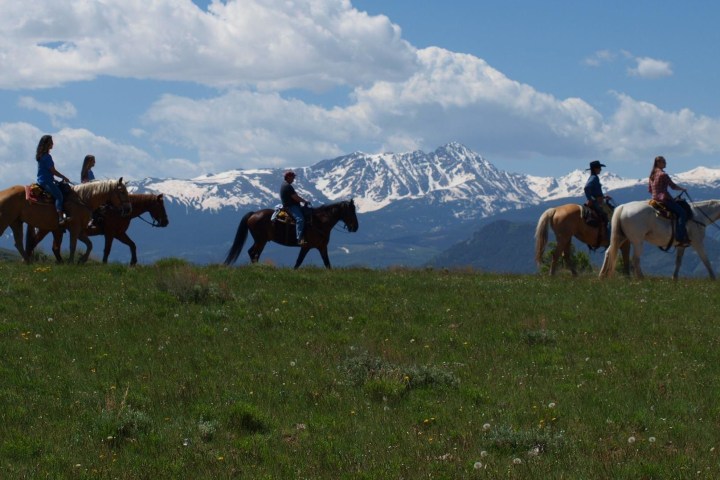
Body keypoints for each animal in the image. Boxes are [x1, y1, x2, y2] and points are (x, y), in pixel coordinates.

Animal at [0, 178, 131, 264]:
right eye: (122, 191)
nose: (128, 208)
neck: (82, 199)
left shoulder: (80, 231)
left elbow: (89, 244)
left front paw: (82, 260)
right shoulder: (75, 228)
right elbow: (73, 245)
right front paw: (71, 262)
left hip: (16, 222)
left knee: (20, 243)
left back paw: (28, 261)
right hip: (7, 221)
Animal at [25, 193, 169, 265]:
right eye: (161, 206)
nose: (166, 222)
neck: (119, 211)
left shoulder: (119, 234)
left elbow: (132, 245)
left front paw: (133, 262)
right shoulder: (110, 233)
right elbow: (107, 250)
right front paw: (104, 264)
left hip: (56, 231)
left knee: (54, 247)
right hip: (46, 229)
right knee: (35, 242)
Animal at [224, 199, 359, 269]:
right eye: (351, 211)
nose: (356, 227)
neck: (319, 222)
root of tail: (253, 214)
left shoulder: (322, 247)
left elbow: (327, 263)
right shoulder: (306, 246)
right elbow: (298, 261)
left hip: (262, 241)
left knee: (255, 253)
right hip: (260, 240)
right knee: (252, 252)